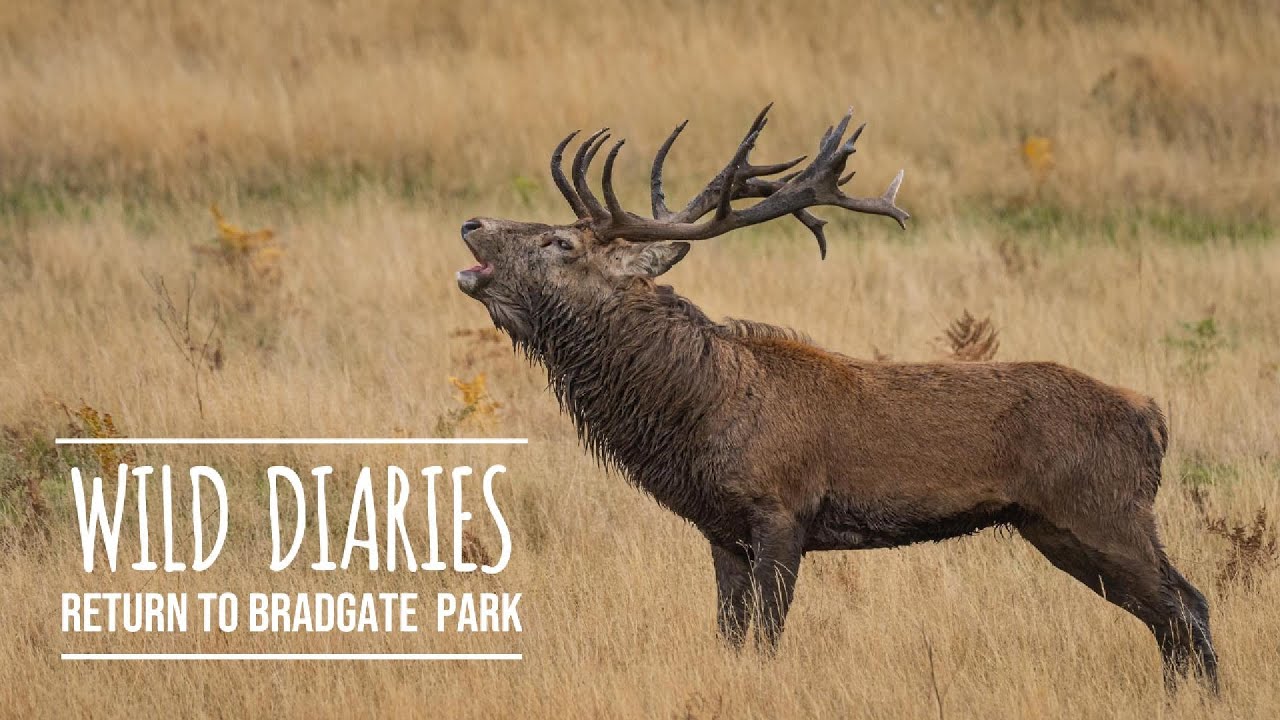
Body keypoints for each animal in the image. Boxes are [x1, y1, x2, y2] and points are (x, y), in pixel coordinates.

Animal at [455, 105, 1219, 691]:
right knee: (1173, 618)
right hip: (1059, 525)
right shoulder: (721, 531)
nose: (471, 223)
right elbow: (730, 638)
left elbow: (767, 640)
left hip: (1105, 511)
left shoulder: (783, 510)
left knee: (1190, 608)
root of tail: (1153, 419)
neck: (695, 413)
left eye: (560, 243)